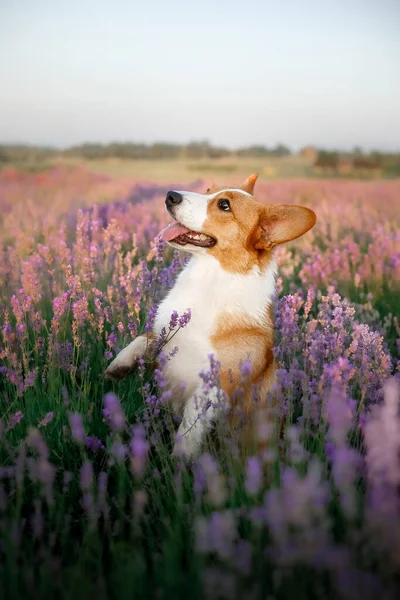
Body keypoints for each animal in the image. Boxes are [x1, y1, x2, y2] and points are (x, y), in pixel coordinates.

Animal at [104, 175, 318, 460]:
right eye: (208, 190)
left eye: (224, 205)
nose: (170, 196)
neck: (208, 279)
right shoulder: (166, 343)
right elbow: (146, 337)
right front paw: (119, 364)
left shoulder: (214, 389)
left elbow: (189, 430)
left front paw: (180, 464)